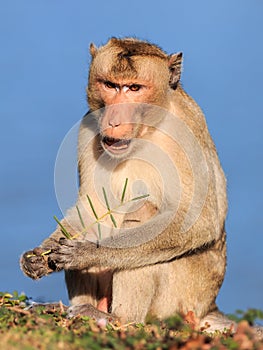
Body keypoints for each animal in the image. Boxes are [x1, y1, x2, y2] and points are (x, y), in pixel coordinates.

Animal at [20, 38, 235, 334]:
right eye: (111, 85)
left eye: (134, 88)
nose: (113, 120)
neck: (147, 131)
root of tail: (208, 307)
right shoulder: (88, 126)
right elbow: (92, 208)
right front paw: (38, 255)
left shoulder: (184, 133)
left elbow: (197, 223)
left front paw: (88, 252)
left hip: (183, 297)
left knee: (143, 216)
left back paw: (119, 319)